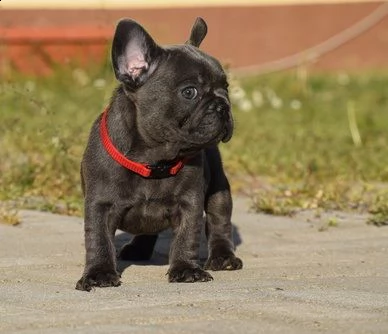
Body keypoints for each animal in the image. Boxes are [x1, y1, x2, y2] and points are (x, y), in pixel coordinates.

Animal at [76, 17, 242, 290]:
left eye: (225, 88)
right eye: (189, 92)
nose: (222, 105)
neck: (154, 159)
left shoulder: (189, 203)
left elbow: (187, 236)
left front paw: (186, 269)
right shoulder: (100, 204)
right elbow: (98, 239)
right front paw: (99, 273)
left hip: (219, 188)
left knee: (219, 221)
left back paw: (223, 257)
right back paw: (138, 248)